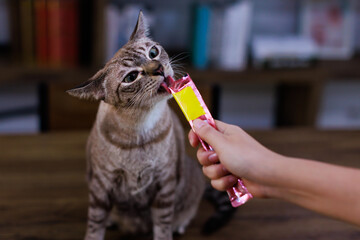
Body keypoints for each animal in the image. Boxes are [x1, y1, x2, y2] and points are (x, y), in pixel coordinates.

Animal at [68, 11, 236, 240]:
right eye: (131, 77)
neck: (140, 126)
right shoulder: (101, 185)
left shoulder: (164, 183)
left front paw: (165, 233)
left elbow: (162, 224)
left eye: (153, 53)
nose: (158, 69)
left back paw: (179, 226)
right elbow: (95, 223)